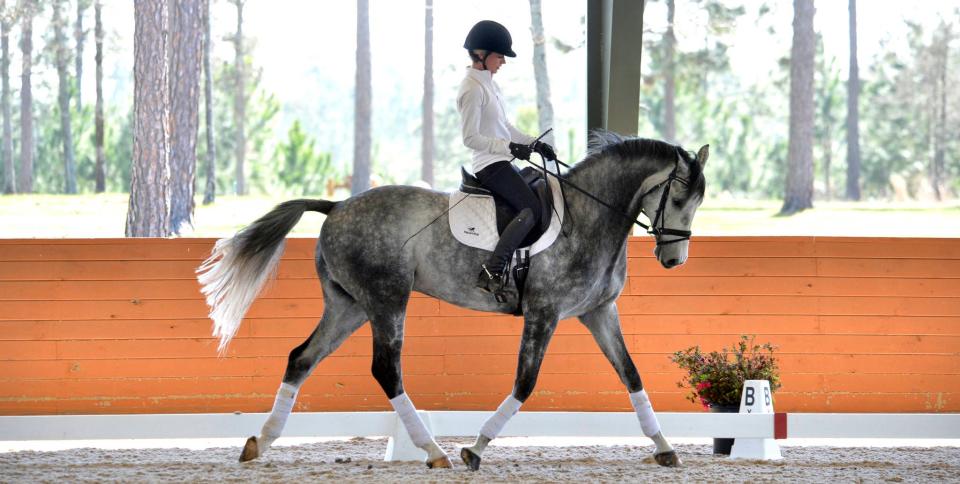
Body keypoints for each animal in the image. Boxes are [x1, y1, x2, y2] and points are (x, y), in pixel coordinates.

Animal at [197, 130, 704, 470]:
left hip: (350, 305)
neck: (588, 217)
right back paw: (434, 451)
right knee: (386, 369)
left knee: (302, 358)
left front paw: (664, 448)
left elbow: (632, 375)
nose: (674, 259)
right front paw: (474, 449)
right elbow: (525, 383)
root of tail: (337, 206)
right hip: (386, 299)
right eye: (679, 197)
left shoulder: (599, 312)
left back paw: (261, 442)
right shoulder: (544, 313)